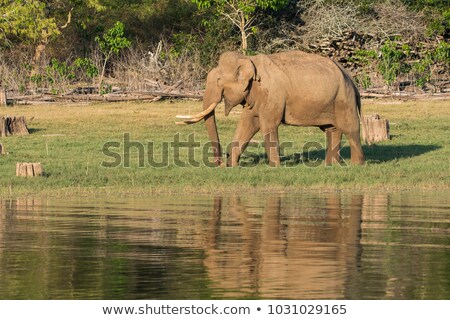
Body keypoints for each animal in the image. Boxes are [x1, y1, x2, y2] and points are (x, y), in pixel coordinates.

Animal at [176, 51, 366, 166]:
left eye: (218, 80)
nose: (220, 162)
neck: (248, 60)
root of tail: (350, 77)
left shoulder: (272, 94)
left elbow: (268, 125)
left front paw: (275, 166)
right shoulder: (255, 97)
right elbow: (248, 124)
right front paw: (232, 166)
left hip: (344, 99)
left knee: (351, 129)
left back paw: (356, 165)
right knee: (332, 130)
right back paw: (330, 165)